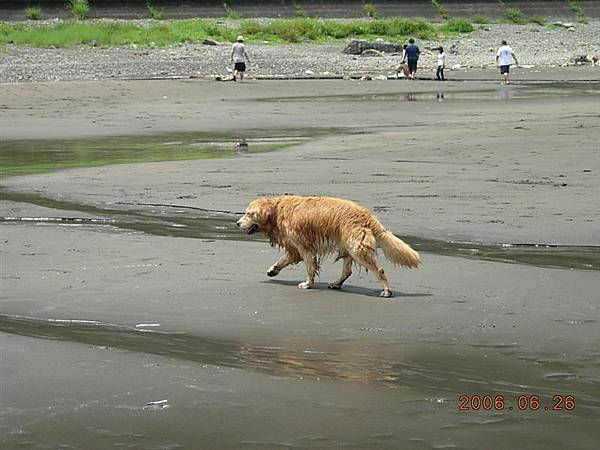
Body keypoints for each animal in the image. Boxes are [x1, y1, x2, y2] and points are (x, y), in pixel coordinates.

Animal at [237, 195, 420, 298]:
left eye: (248, 213)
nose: (237, 223)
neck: (276, 211)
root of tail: (369, 216)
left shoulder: (305, 247)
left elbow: (310, 267)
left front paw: (308, 284)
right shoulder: (294, 247)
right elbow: (283, 260)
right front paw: (272, 270)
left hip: (356, 248)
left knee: (379, 270)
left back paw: (387, 291)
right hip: (348, 246)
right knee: (347, 271)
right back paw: (336, 284)